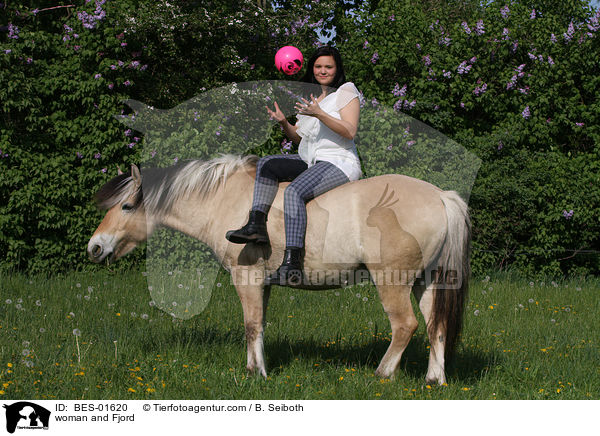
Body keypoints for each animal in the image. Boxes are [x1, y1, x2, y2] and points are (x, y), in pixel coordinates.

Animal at [89, 154, 472, 384]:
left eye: (126, 206)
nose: (95, 247)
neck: (227, 200)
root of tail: (440, 196)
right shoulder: (263, 284)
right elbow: (259, 326)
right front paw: (257, 367)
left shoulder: (246, 279)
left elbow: (250, 325)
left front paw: (255, 373)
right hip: (427, 282)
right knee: (436, 325)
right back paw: (434, 380)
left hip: (392, 283)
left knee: (405, 325)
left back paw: (382, 373)